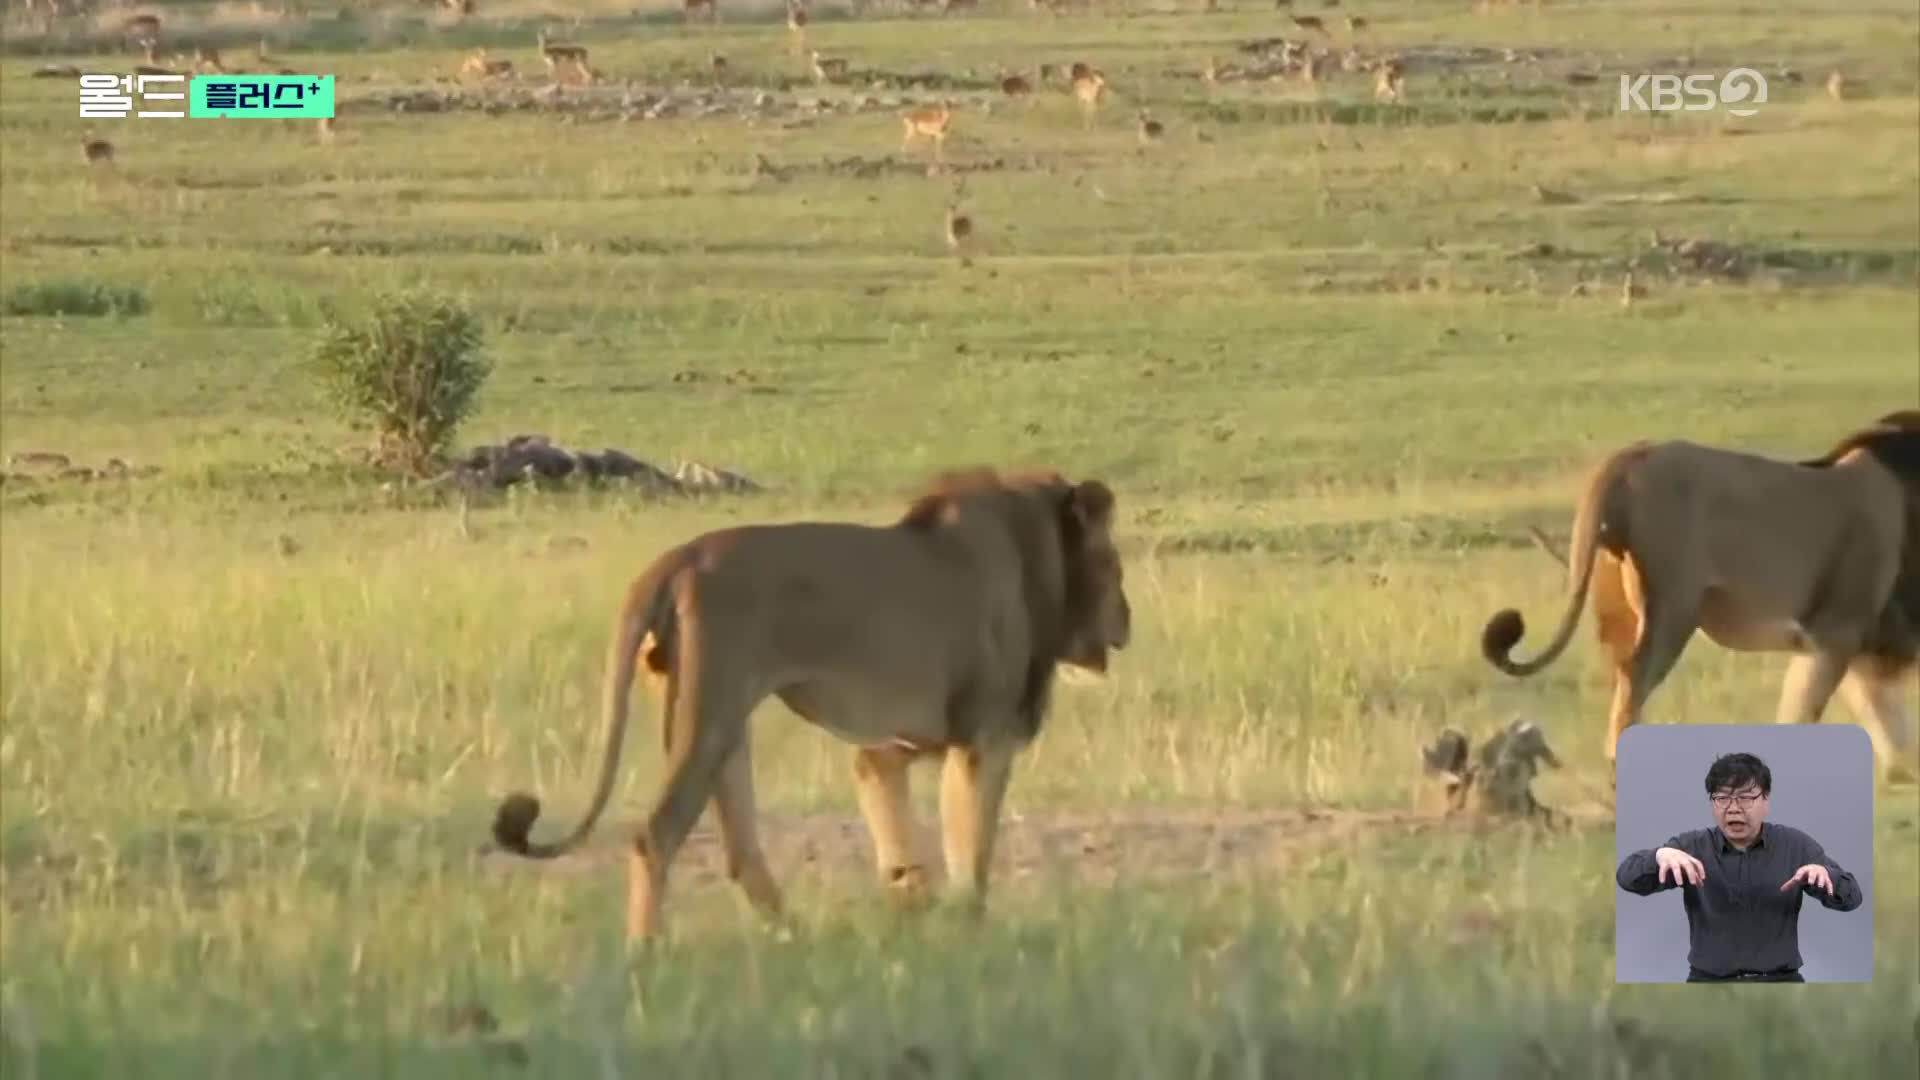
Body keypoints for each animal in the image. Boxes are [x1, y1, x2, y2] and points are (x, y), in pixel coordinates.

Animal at [487, 466, 1128, 937]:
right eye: (1114, 564)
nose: (1128, 620)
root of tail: (680, 557)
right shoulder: (983, 738)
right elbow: (972, 847)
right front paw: (966, 924)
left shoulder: (896, 743)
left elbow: (899, 828)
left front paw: (911, 901)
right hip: (711, 707)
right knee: (657, 835)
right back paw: (646, 955)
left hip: (716, 716)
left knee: (741, 849)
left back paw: (792, 934)